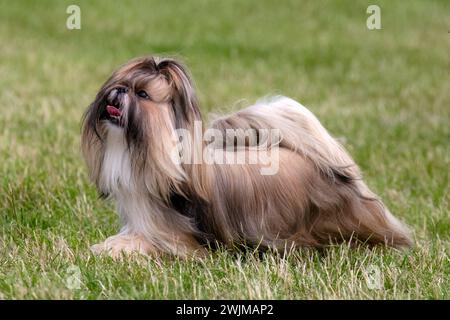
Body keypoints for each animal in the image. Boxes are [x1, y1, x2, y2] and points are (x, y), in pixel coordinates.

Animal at [82, 56, 414, 258]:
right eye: (122, 85)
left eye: (142, 95)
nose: (117, 92)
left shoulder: (176, 240)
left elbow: (146, 244)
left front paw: (112, 250)